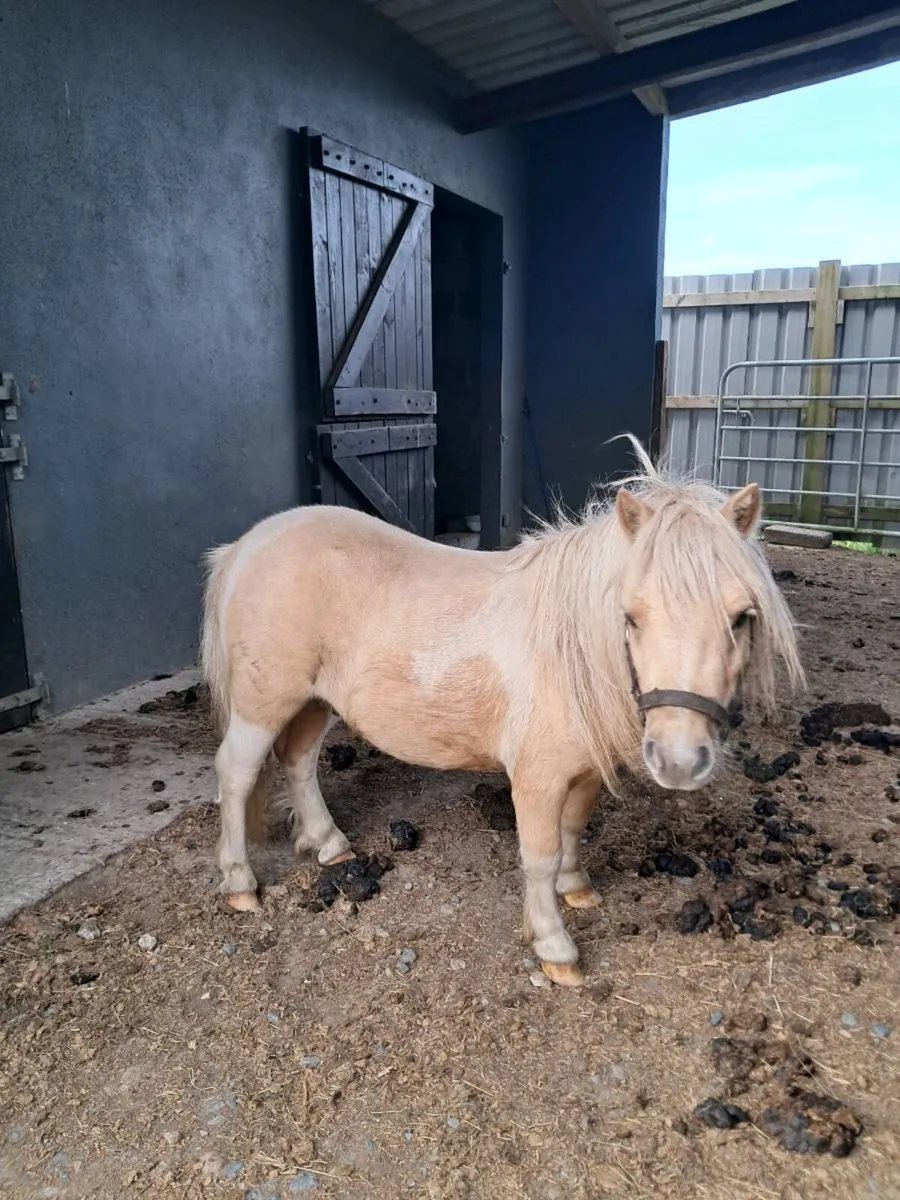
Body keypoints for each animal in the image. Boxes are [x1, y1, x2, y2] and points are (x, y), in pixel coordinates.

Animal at [199, 439, 802, 986]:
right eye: (631, 616)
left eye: (742, 616)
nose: (678, 762)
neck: (569, 648)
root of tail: (245, 546)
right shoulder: (537, 778)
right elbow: (538, 855)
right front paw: (554, 945)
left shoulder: (584, 769)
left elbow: (572, 830)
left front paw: (576, 887)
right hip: (264, 702)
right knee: (237, 772)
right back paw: (240, 884)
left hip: (314, 700)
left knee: (299, 761)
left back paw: (329, 845)